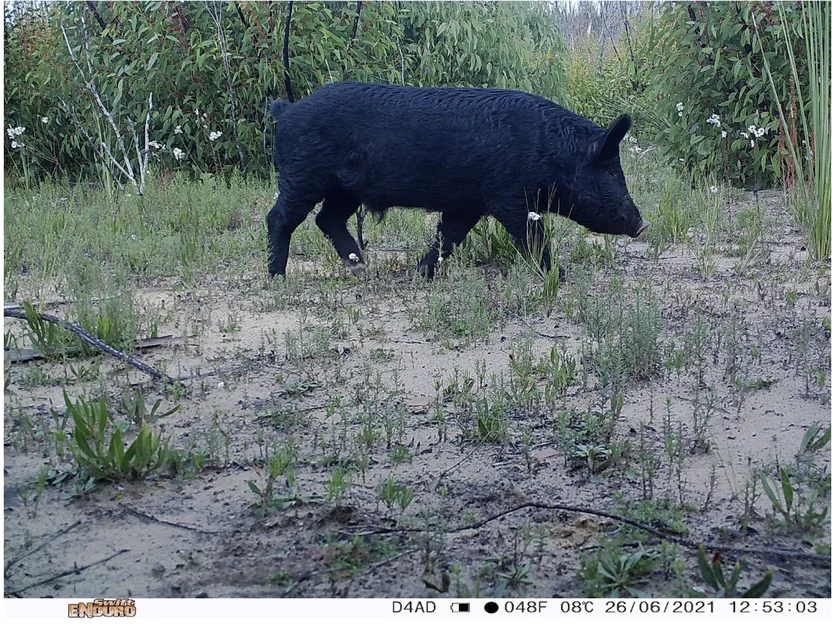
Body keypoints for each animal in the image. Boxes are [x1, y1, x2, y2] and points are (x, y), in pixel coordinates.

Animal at [270, 81, 648, 276]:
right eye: (610, 172)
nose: (642, 224)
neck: (553, 153)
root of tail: (286, 110)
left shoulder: (468, 203)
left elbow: (448, 238)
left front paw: (419, 273)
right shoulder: (509, 196)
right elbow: (533, 238)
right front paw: (557, 276)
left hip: (343, 189)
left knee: (326, 219)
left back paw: (361, 266)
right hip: (302, 175)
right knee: (279, 218)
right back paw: (277, 276)